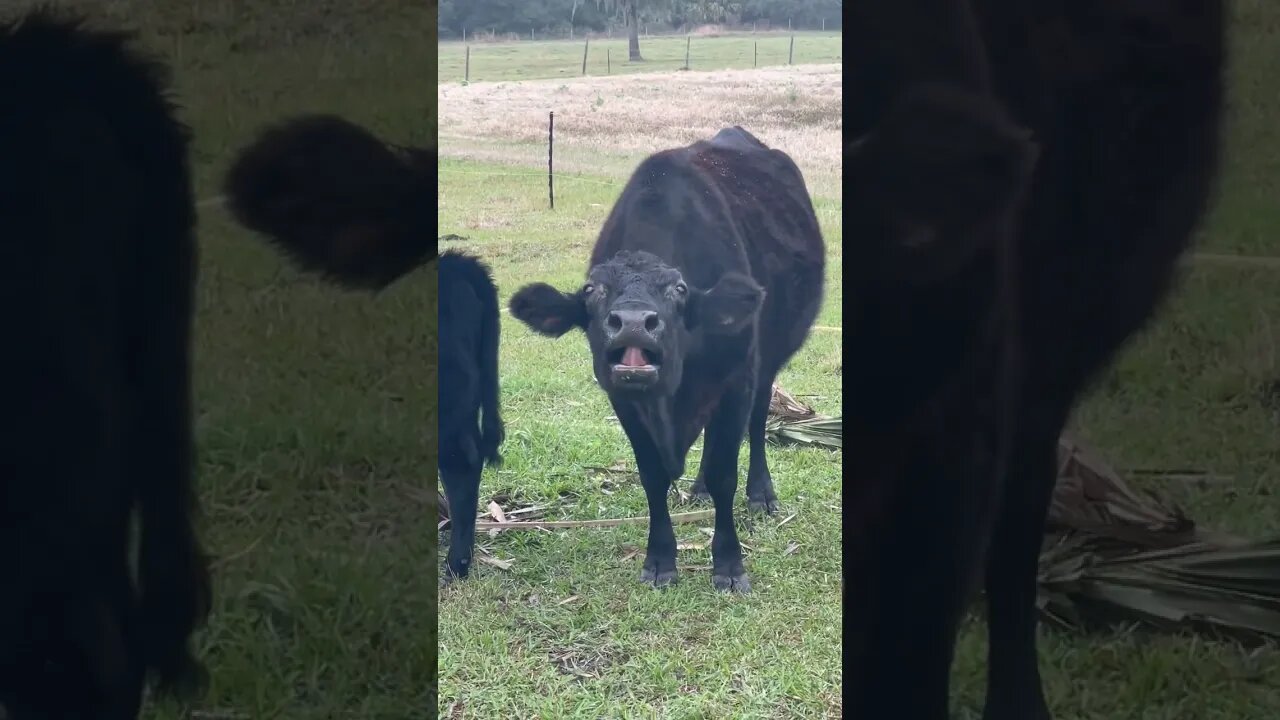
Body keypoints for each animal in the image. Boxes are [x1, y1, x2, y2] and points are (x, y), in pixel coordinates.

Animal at [506, 126, 819, 591]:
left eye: (679, 290)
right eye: (592, 290)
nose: (634, 322)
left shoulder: (737, 378)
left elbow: (727, 470)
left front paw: (729, 565)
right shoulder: (623, 399)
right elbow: (652, 477)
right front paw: (659, 560)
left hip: (768, 363)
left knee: (759, 418)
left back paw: (761, 493)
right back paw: (699, 488)